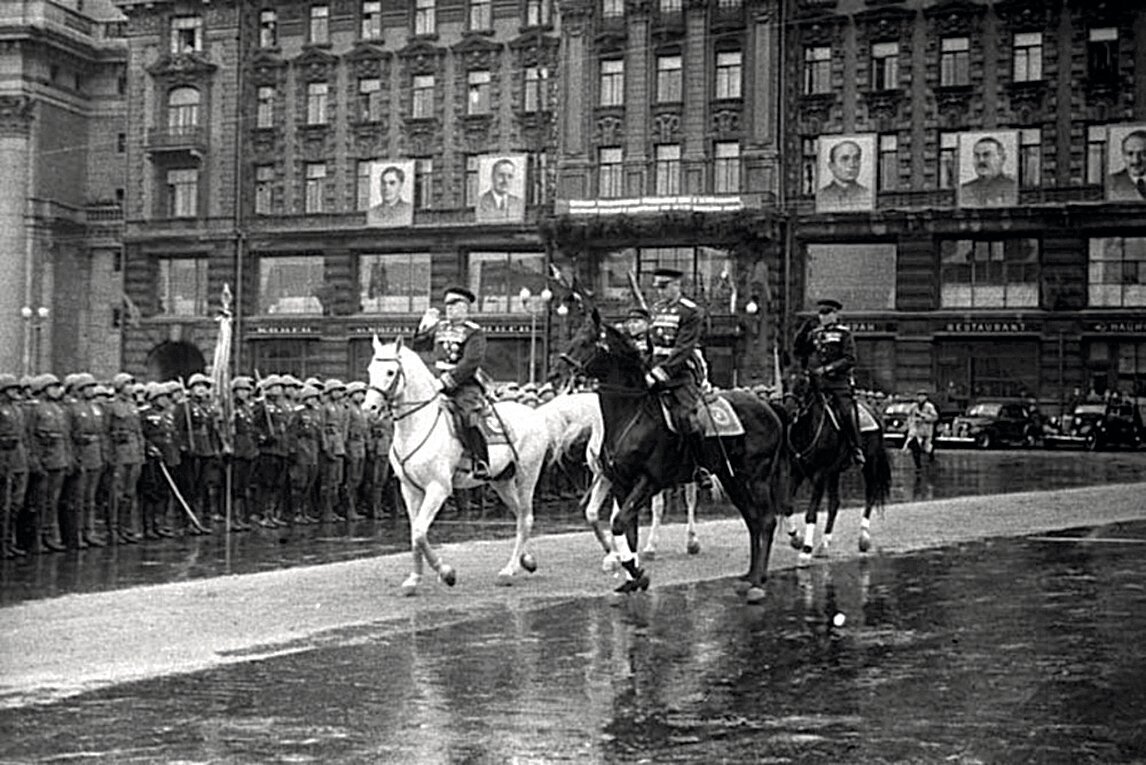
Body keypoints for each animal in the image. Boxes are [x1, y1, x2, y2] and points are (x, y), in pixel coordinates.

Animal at [364, 332, 586, 595]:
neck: (417, 425)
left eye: (390, 372)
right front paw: (414, 579)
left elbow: (419, 532)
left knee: (526, 518)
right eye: (370, 370)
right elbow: (415, 533)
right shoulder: (409, 489)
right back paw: (526, 560)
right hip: (502, 481)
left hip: (527, 476)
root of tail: (535, 413)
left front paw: (446, 573)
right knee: (520, 515)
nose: (369, 409)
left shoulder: (438, 488)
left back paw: (509, 569)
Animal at [561, 309, 788, 604]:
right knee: (752, 519)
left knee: (767, 520)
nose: (563, 366)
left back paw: (757, 582)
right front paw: (631, 577)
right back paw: (749, 576)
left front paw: (637, 571)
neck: (631, 415)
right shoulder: (621, 483)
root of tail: (768, 406)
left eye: (588, 340)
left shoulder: (649, 481)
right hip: (732, 478)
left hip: (756, 477)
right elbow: (626, 529)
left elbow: (620, 523)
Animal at [783, 366, 889, 558]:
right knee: (834, 504)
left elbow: (811, 513)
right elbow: (787, 506)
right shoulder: (797, 471)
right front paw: (797, 539)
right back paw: (824, 544)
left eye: (803, 382)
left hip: (869, 464)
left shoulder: (819, 474)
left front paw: (806, 549)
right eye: (784, 380)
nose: (788, 412)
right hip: (834, 472)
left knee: (870, 494)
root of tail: (872, 411)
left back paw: (863, 537)